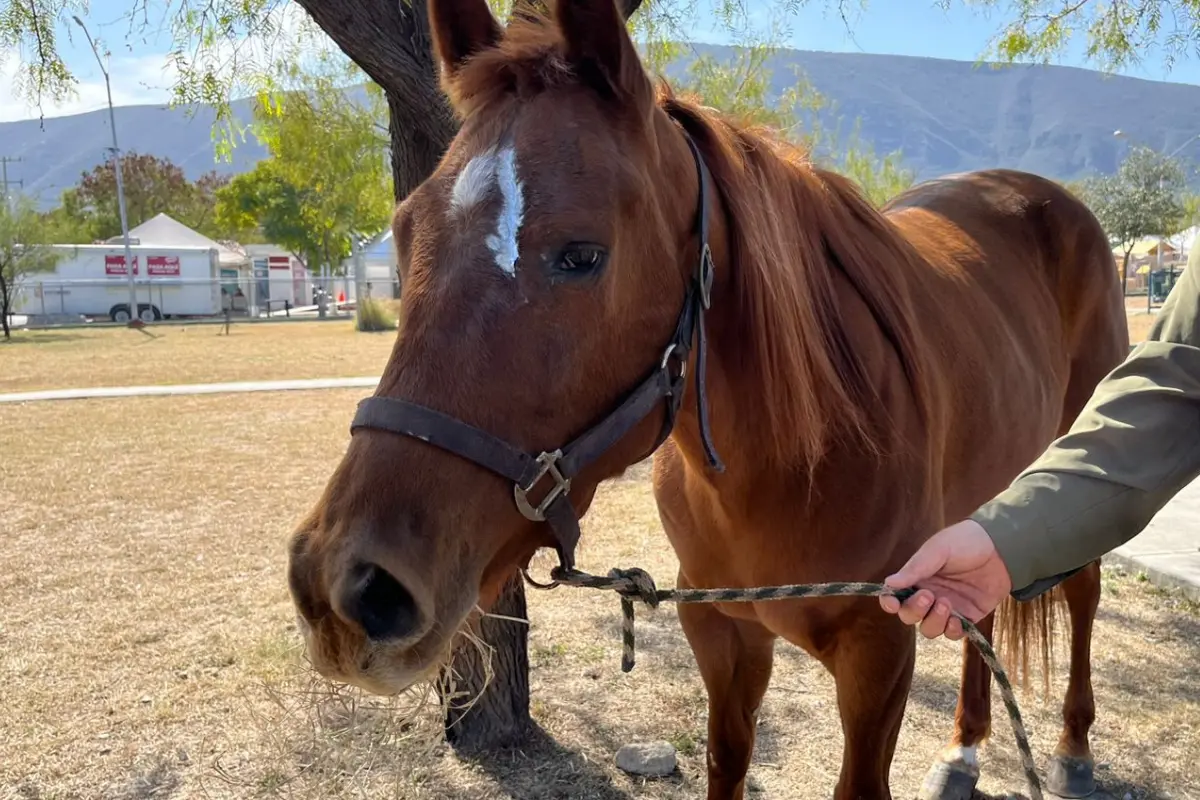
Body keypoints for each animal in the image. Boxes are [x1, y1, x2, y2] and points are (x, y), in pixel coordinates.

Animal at [285, 1, 1128, 800]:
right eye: (405, 231)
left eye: (583, 254)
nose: (344, 589)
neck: (796, 454)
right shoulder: (718, 628)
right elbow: (728, 760)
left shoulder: (878, 651)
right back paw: (963, 751)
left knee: (1084, 593)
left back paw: (1073, 750)